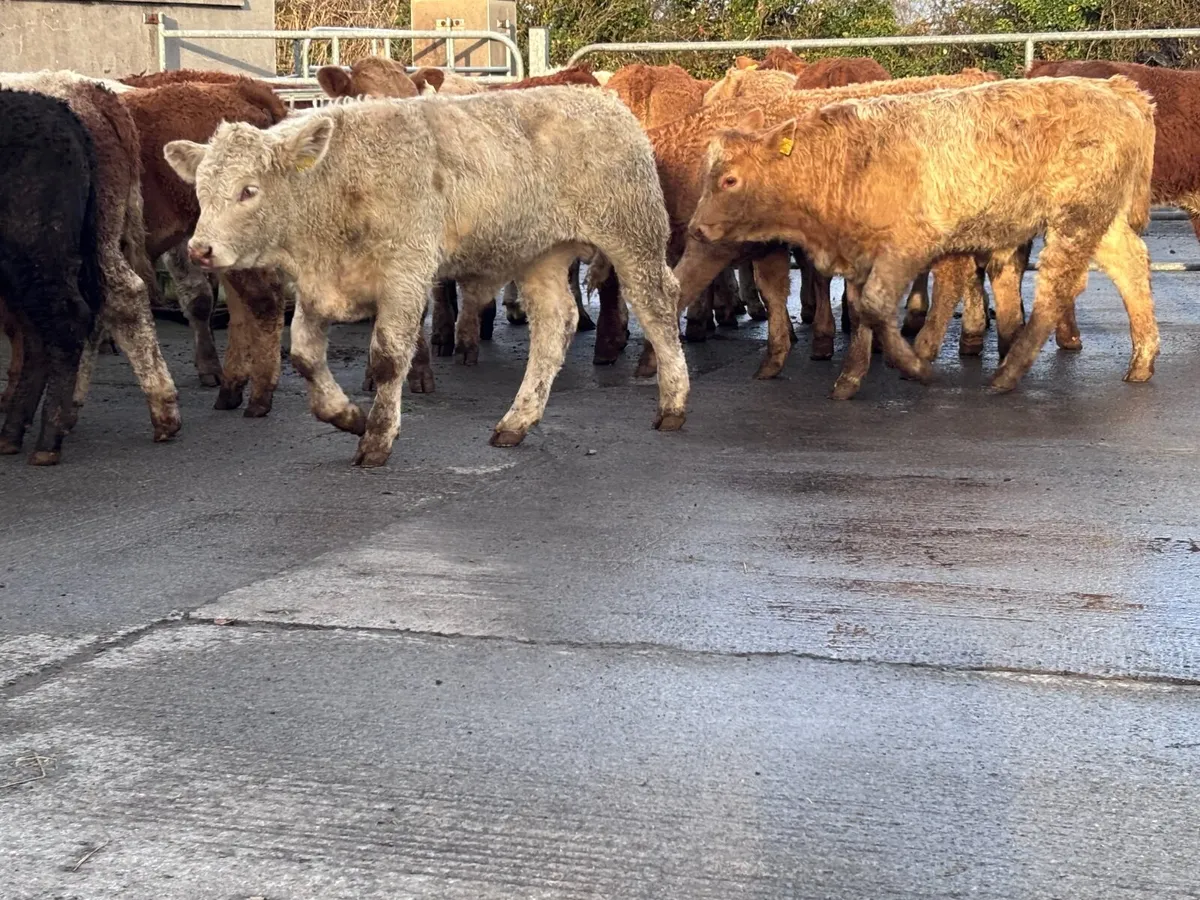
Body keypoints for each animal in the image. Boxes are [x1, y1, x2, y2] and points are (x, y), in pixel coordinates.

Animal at [165, 88, 689, 467]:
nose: (199, 249)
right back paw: (516, 421)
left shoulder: (405, 275)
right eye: (201, 189)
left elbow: (386, 358)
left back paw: (673, 406)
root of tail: (605, 100)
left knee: (659, 306)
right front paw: (348, 416)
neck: (337, 187)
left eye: (248, 190)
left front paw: (377, 439)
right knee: (555, 325)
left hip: (633, 237)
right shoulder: (316, 290)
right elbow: (306, 359)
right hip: (540, 256)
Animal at [688, 76, 1158, 399]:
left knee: (1056, 288)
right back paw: (1142, 359)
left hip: (1075, 219)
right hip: (1101, 222)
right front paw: (850, 378)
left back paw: (1007, 372)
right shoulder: (860, 256)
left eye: (729, 180)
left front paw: (914, 366)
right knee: (1131, 265)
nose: (695, 227)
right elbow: (859, 311)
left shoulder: (906, 247)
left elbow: (876, 307)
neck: (845, 160)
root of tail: (1118, 90)